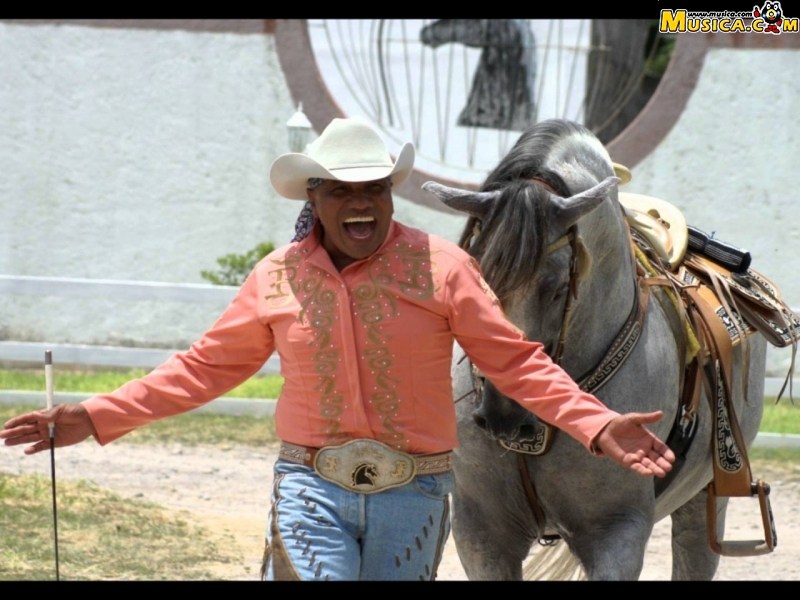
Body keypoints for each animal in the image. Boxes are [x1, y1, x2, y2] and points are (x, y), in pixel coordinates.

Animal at [424, 118, 776, 580]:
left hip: (704, 502)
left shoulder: (616, 533)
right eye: (476, 277)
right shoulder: (481, 534)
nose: (504, 419)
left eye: (558, 287)